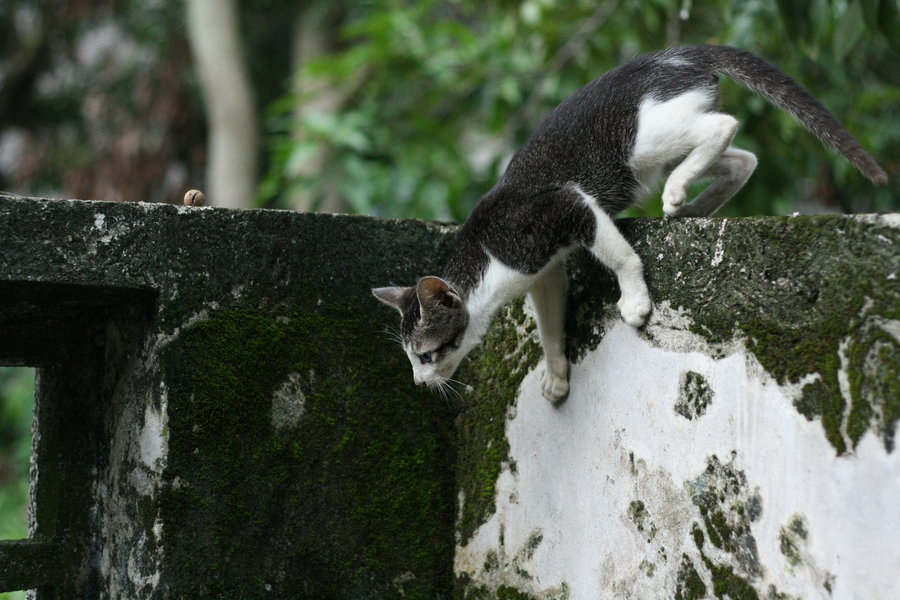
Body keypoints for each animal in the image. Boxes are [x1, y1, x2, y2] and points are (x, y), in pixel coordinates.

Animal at [370, 45, 884, 404]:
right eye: (411, 358)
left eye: (427, 354)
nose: (419, 381)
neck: (490, 263)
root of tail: (681, 54)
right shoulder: (543, 267)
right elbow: (550, 321)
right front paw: (557, 375)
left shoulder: (566, 206)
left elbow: (619, 255)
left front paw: (634, 300)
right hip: (654, 152)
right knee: (743, 160)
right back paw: (691, 205)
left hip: (642, 140)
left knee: (723, 126)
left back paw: (676, 193)